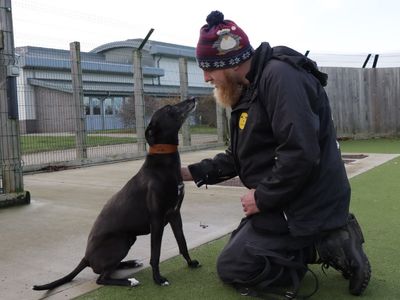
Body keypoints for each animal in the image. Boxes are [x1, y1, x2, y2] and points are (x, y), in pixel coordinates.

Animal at [33, 97, 200, 290]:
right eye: (168, 108)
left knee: (109, 269)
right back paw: (129, 281)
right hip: (121, 241)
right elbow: (155, 254)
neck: (163, 165)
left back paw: (130, 263)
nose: (193, 99)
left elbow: (183, 243)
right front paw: (158, 279)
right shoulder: (157, 220)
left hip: (129, 239)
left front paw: (190, 263)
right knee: (101, 278)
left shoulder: (175, 214)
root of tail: (86, 258)